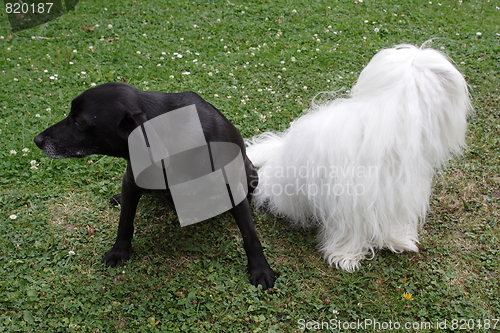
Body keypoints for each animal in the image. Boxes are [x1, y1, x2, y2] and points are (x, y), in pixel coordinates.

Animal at [34, 82, 278, 288]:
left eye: (80, 121)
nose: (37, 140)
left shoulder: (232, 188)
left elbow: (250, 235)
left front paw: (260, 269)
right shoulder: (131, 180)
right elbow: (125, 221)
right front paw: (119, 251)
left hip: (250, 174)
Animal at [248, 43, 470, 270]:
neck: (393, 117)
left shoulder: (395, 193)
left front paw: (397, 241)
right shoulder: (351, 200)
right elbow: (349, 230)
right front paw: (346, 257)